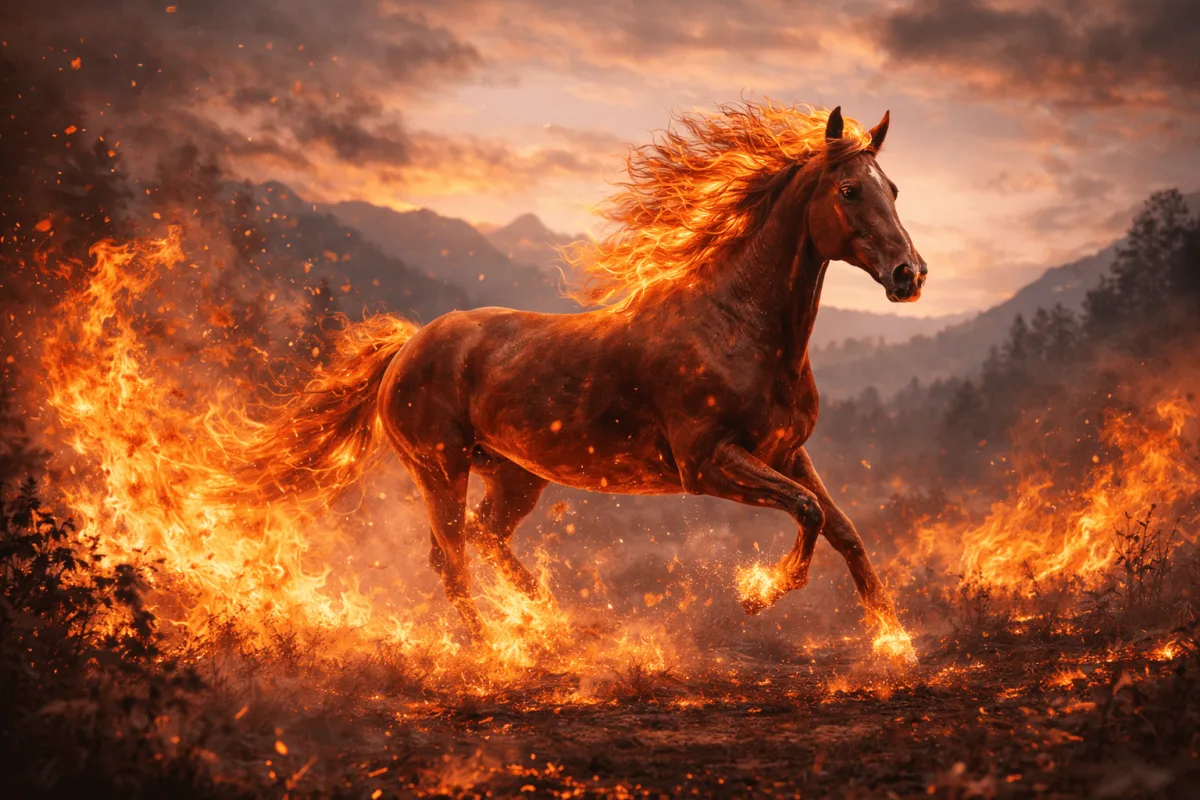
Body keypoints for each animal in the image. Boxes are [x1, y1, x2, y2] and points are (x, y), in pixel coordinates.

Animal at [258, 102, 927, 655]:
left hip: (515, 474)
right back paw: (494, 651)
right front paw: (757, 594)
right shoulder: (706, 463)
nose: (909, 274)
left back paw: (552, 624)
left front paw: (897, 647)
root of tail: (405, 348)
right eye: (849, 190)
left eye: (893, 189)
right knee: (450, 557)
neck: (737, 325)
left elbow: (845, 532)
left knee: (484, 536)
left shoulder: (786, 453)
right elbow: (809, 514)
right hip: (439, 469)